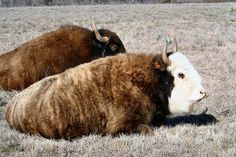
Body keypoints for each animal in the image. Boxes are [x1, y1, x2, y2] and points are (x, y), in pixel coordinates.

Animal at [4, 39, 206, 139]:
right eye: (180, 74)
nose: (203, 92)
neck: (144, 80)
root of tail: (10, 107)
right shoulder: (121, 127)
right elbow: (147, 129)